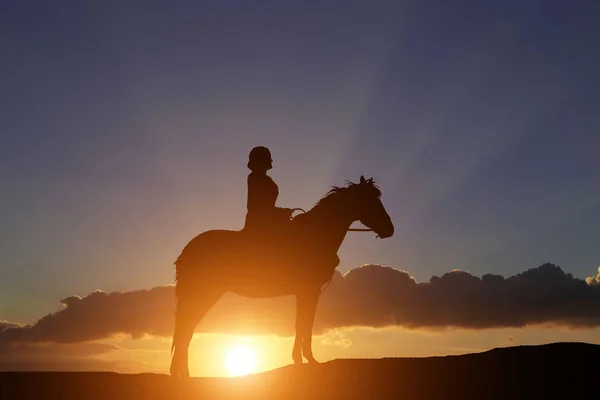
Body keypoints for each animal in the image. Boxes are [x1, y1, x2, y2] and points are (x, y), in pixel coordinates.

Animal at [169, 176, 394, 378]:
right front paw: (306, 360)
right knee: (186, 326)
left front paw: (301, 359)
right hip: (206, 293)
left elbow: (303, 323)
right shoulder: (309, 290)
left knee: (187, 327)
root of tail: (188, 250)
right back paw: (181, 374)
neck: (316, 235)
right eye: (370, 201)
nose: (390, 229)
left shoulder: (307, 292)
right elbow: (304, 324)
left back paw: (182, 374)